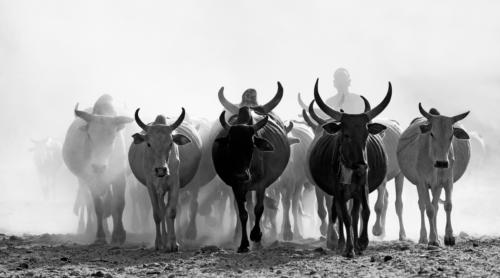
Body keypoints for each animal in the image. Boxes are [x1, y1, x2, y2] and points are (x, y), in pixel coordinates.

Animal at [62, 95, 133, 243]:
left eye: (113, 137)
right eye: (89, 135)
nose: (98, 167)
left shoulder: (119, 178)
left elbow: (118, 204)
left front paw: (119, 235)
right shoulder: (91, 180)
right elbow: (98, 206)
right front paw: (100, 235)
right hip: (82, 181)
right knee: (90, 204)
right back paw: (91, 229)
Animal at [128, 107, 202, 251]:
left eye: (170, 143)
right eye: (149, 144)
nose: (161, 170)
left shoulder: (175, 184)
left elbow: (171, 212)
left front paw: (172, 243)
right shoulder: (151, 186)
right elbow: (157, 214)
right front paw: (159, 243)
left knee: (166, 209)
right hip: (159, 191)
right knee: (162, 210)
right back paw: (163, 240)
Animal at [213, 82, 292, 252]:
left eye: (252, 145)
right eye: (230, 145)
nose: (242, 175)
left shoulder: (262, 184)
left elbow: (259, 209)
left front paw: (256, 235)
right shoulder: (236, 185)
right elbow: (243, 213)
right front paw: (243, 243)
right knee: (246, 207)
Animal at [396, 103, 470, 245]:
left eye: (451, 135)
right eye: (432, 134)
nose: (442, 163)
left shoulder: (447, 181)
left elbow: (447, 205)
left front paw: (448, 237)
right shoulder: (422, 182)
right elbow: (429, 210)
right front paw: (432, 239)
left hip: (437, 186)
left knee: (435, 205)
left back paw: (436, 236)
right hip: (419, 185)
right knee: (423, 206)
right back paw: (424, 237)